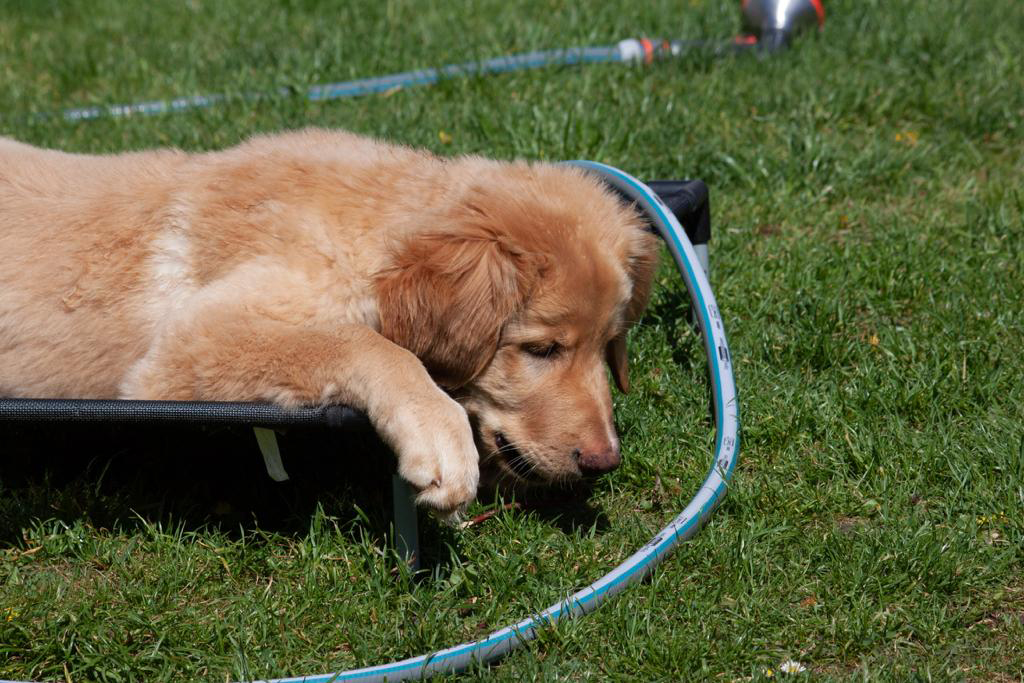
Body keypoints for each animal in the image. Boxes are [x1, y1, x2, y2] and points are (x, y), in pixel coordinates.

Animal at [0, 129, 659, 514]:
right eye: (542, 349)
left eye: (607, 346)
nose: (604, 462)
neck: (372, 226)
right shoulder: (184, 348)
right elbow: (364, 344)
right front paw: (438, 433)